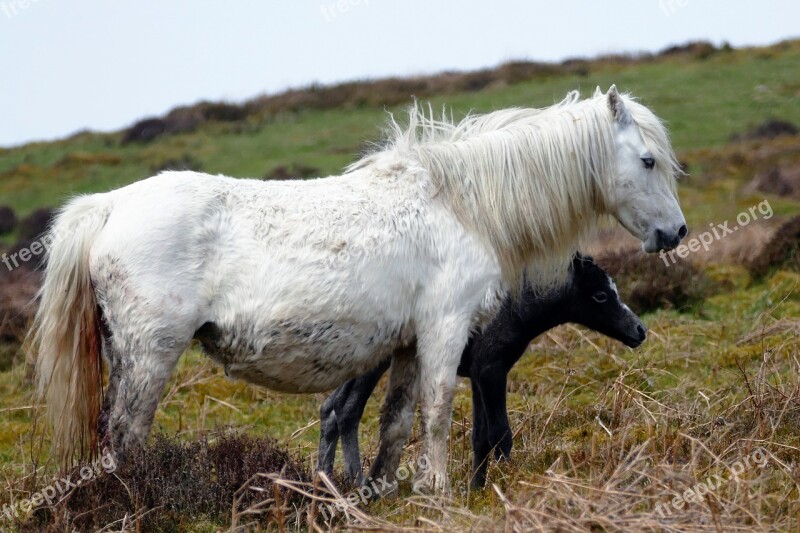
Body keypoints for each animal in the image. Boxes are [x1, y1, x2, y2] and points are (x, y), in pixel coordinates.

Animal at [316, 254, 648, 486]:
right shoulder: (492, 369)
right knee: (347, 410)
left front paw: (476, 488)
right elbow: (501, 434)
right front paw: (506, 484)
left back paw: (326, 482)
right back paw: (356, 483)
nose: (640, 330)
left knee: (330, 407)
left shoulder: (478, 374)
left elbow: (481, 437)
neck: (515, 308)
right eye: (600, 295)